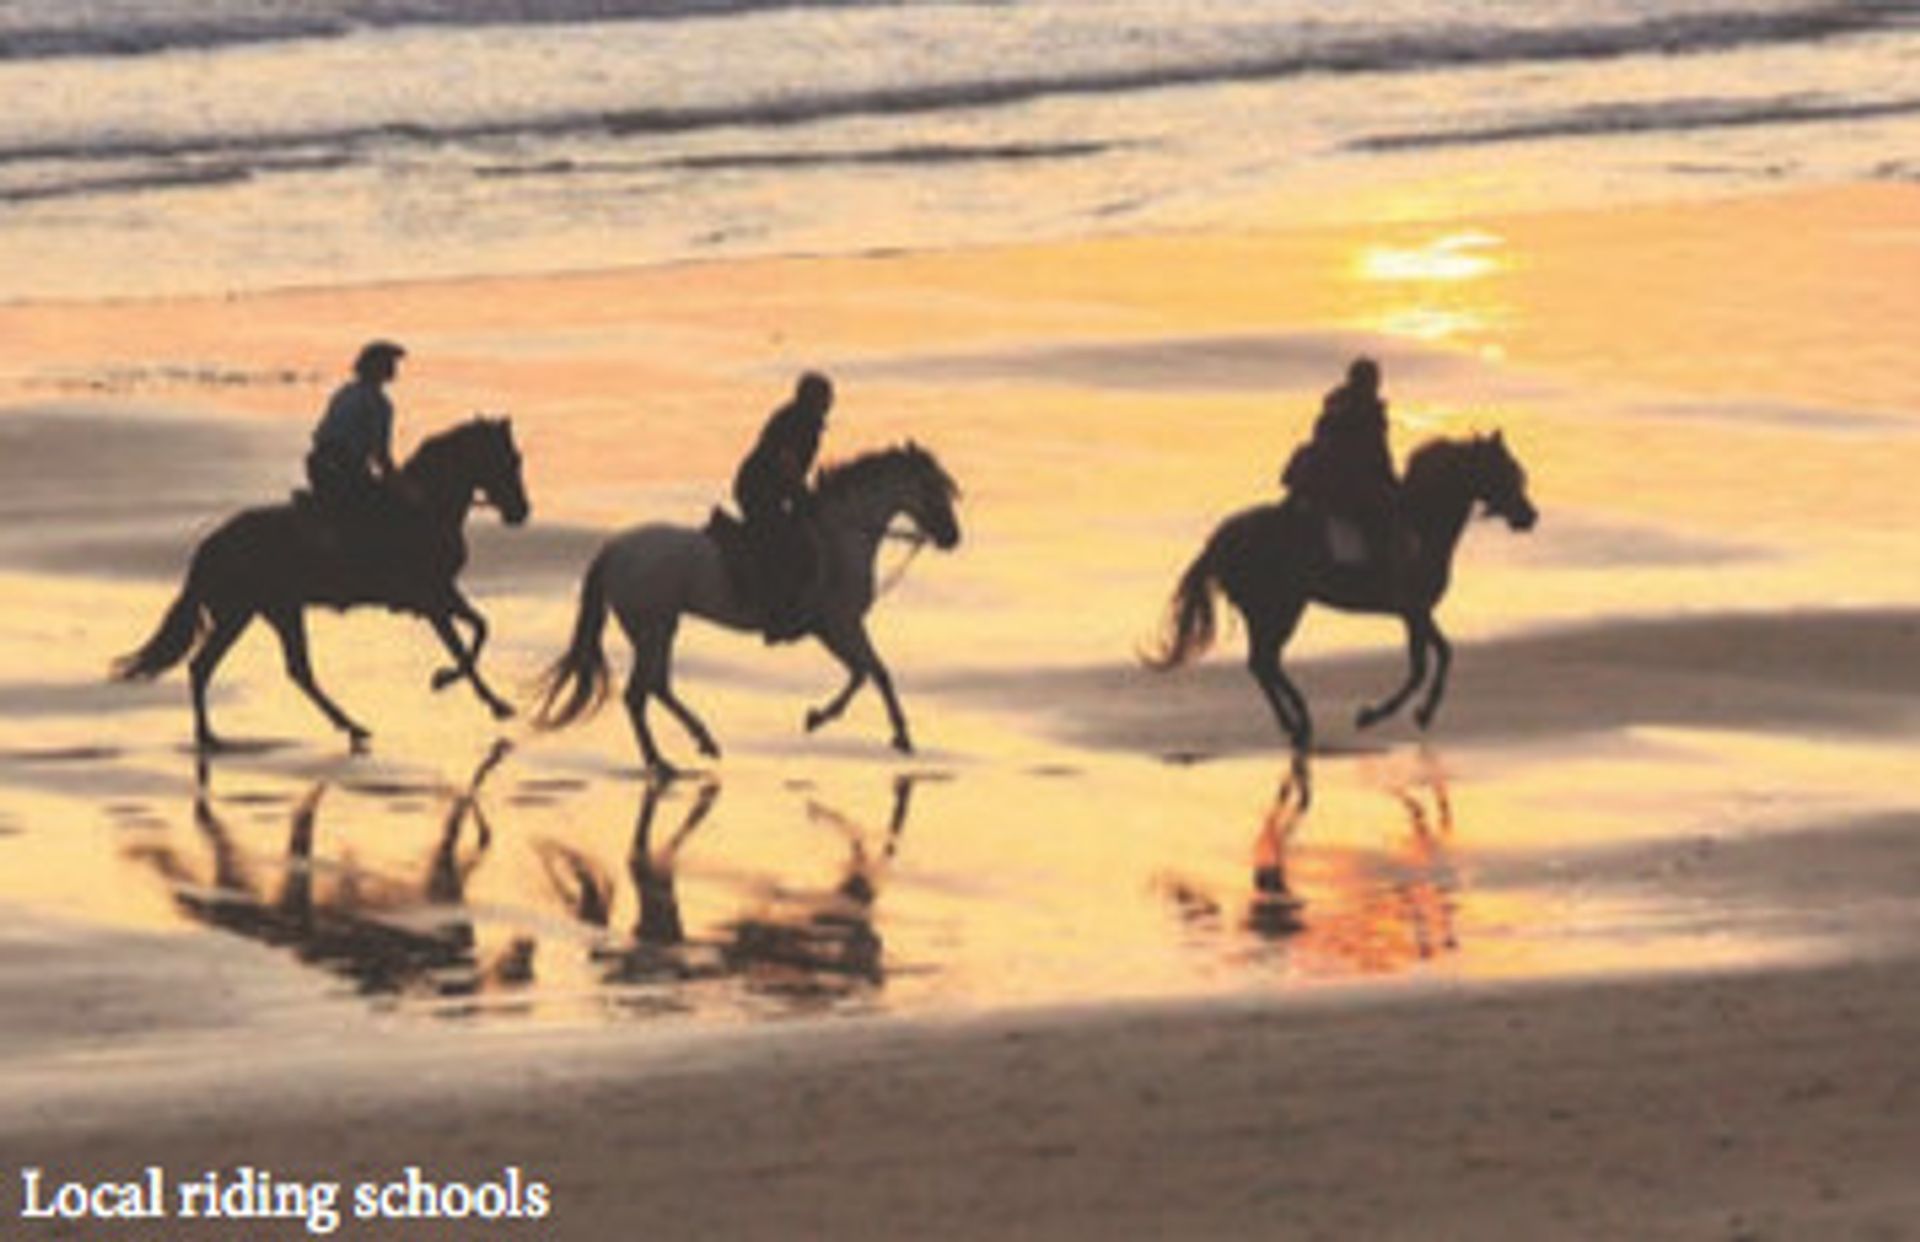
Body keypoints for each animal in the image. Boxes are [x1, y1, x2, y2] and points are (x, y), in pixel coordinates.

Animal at [112, 418, 533, 752]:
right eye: (510, 460)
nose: (520, 511)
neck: (426, 507)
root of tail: (209, 545)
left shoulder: (443, 593)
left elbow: (479, 628)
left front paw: (483, 696)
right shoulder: (430, 598)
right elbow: (466, 643)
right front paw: (457, 685)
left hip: (272, 611)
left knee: (282, 670)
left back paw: (345, 726)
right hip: (246, 614)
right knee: (211, 667)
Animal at [533, 441, 960, 771]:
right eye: (934, 489)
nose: (953, 537)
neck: (841, 535)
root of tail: (614, 550)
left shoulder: (834, 627)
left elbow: (869, 671)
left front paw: (869, 727)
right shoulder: (839, 624)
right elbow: (870, 672)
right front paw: (847, 723)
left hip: (660, 628)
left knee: (655, 687)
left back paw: (698, 743)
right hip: (654, 628)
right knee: (641, 693)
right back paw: (662, 762)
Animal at [1144, 431, 1536, 752]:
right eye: (1506, 473)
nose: (1530, 517)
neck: (1421, 524)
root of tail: (1220, 540)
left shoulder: (1417, 612)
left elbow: (1437, 656)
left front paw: (1415, 712)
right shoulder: (1413, 610)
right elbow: (1425, 664)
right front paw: (1382, 714)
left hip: (1275, 611)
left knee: (1263, 663)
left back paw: (1297, 723)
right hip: (1280, 609)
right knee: (1264, 662)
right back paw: (1299, 722)